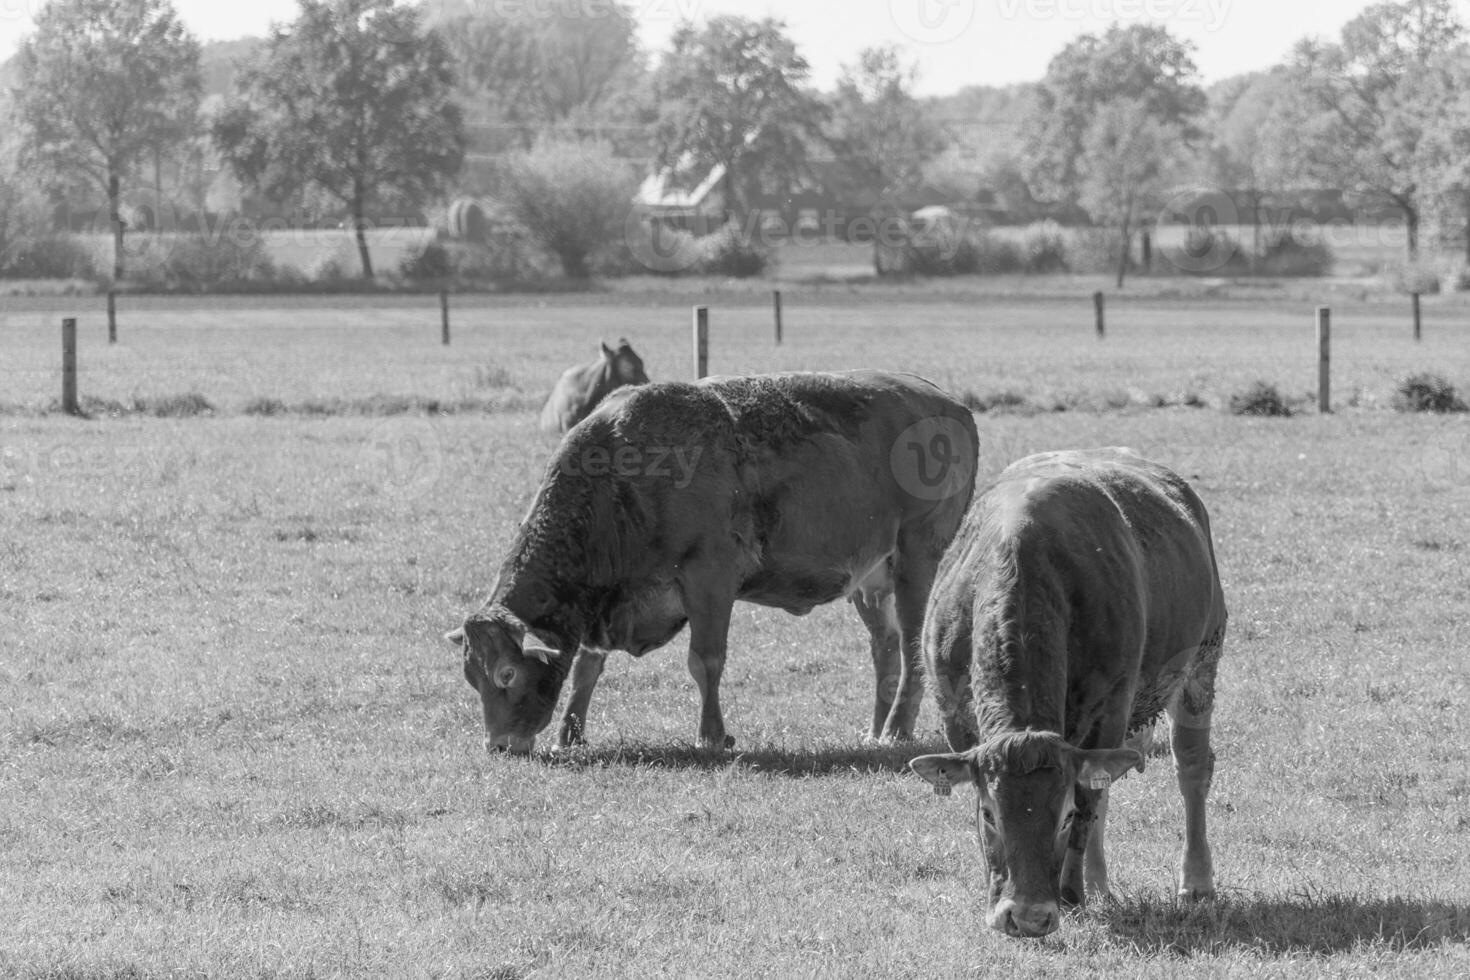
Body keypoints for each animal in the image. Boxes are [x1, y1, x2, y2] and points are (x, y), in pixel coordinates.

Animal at [443, 371, 976, 758]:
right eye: (472, 676)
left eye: (505, 675)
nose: (498, 745)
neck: (626, 473)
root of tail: (950, 404)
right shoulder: (606, 602)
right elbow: (587, 667)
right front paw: (570, 733)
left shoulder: (710, 580)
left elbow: (705, 661)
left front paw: (712, 735)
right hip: (871, 580)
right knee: (884, 648)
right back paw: (875, 728)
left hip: (917, 561)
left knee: (911, 647)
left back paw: (897, 729)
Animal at [905, 449, 1228, 940]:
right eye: (989, 815)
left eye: (1063, 817)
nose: (1026, 916)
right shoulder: (955, 717)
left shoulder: (1109, 709)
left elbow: (1089, 799)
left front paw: (1071, 894)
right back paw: (1099, 885)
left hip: (1201, 661)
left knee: (1190, 768)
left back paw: (1195, 882)